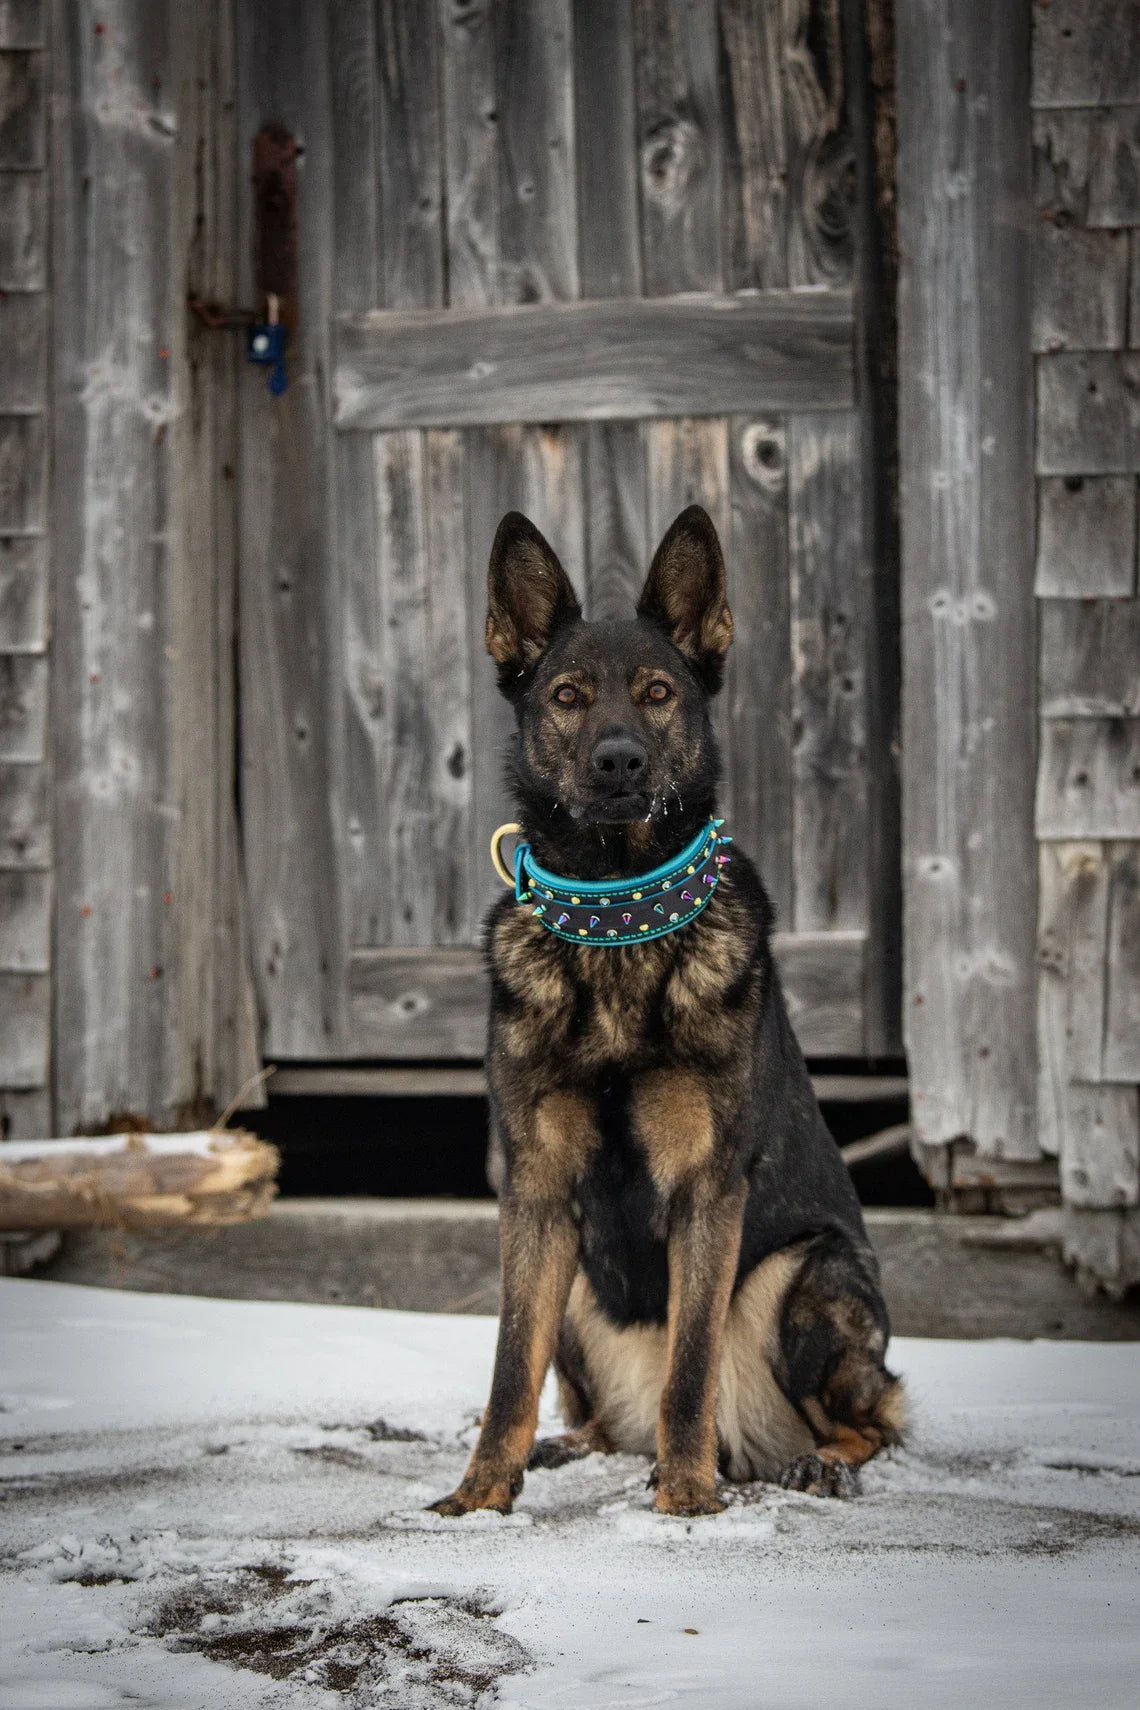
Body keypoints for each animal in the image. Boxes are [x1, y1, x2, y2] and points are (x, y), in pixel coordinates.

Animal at [432, 499, 902, 1518]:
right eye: (568, 696)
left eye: (656, 693)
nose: (619, 760)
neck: (616, 920)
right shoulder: (535, 1193)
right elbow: (508, 1369)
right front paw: (481, 1494)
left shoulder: (706, 1191)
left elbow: (691, 1367)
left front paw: (686, 1496)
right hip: (577, 1290)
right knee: (592, 1410)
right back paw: (569, 1447)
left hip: (807, 1277)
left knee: (877, 1418)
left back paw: (814, 1463)